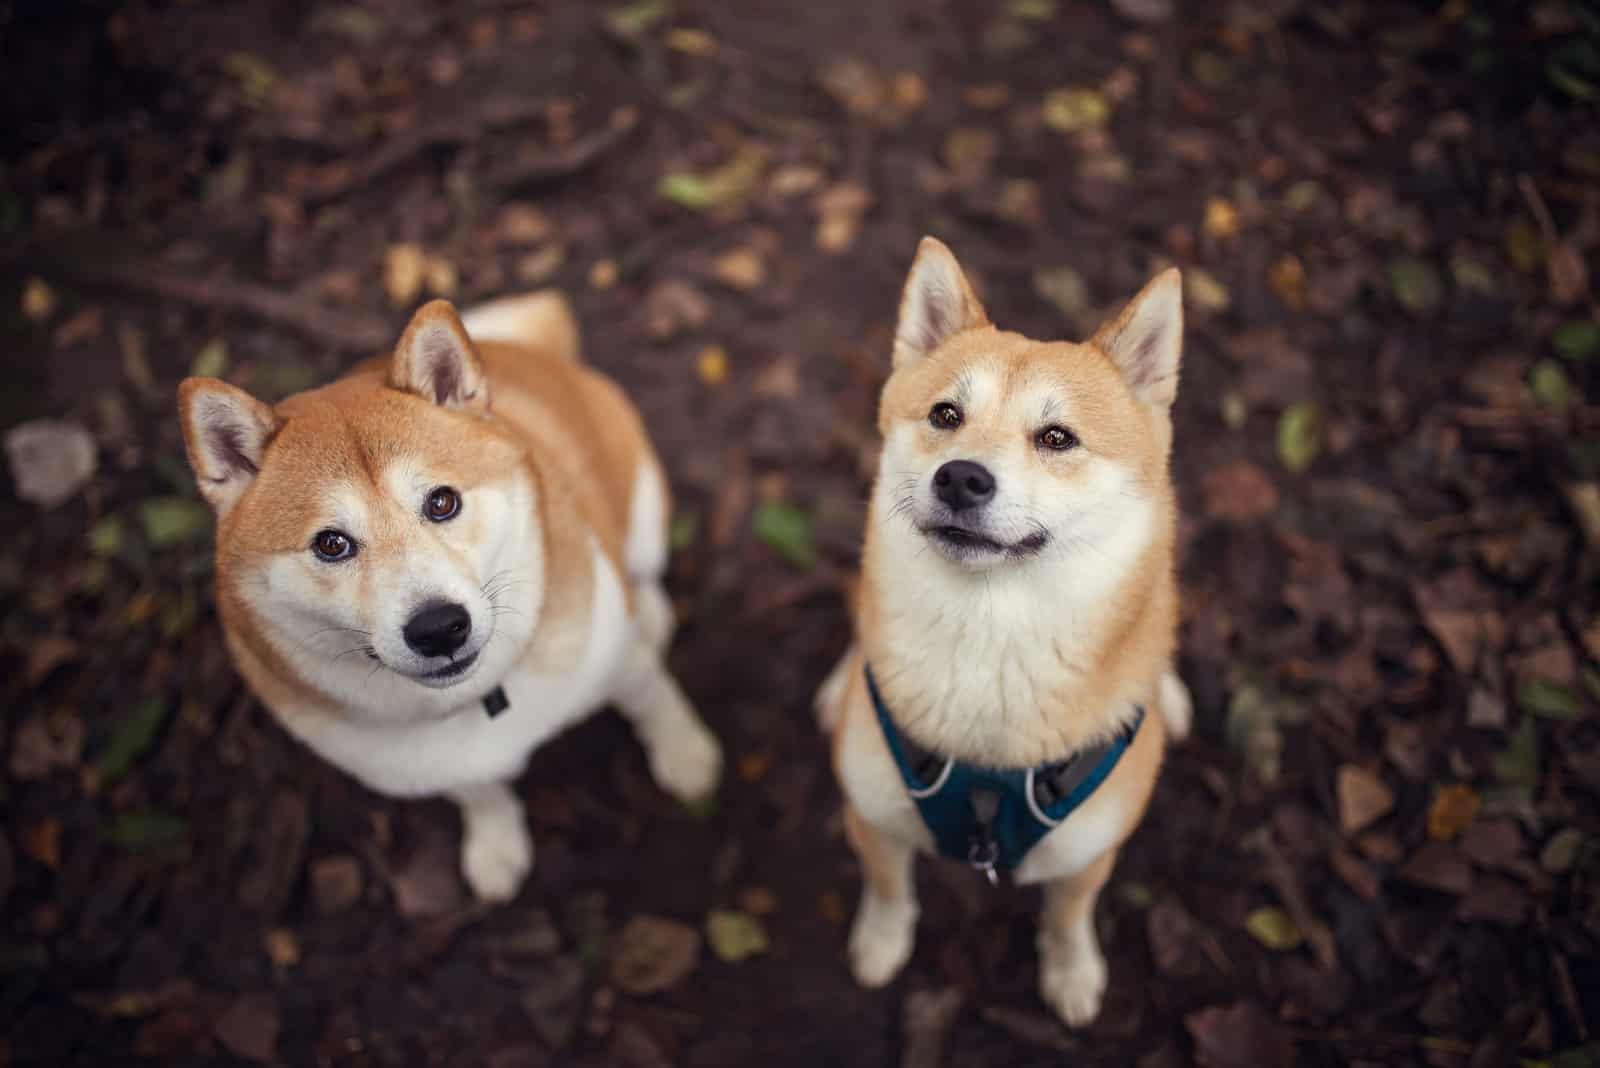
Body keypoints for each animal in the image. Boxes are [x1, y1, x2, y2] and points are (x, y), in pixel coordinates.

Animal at [178, 292, 723, 901]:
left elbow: (655, 700)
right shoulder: (435, 766)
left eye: (441, 502)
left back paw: (650, 611)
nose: (438, 627)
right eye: (331, 544)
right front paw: (496, 846)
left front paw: (686, 754)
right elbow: (481, 793)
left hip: (644, 508)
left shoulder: (620, 664)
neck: (482, 695)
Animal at [825, 239, 1190, 1023]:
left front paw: (1072, 973)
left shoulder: (1088, 855)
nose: (961, 478)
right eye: (945, 414)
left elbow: (1068, 916)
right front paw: (881, 943)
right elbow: (890, 891)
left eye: (1057, 437)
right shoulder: (873, 821)